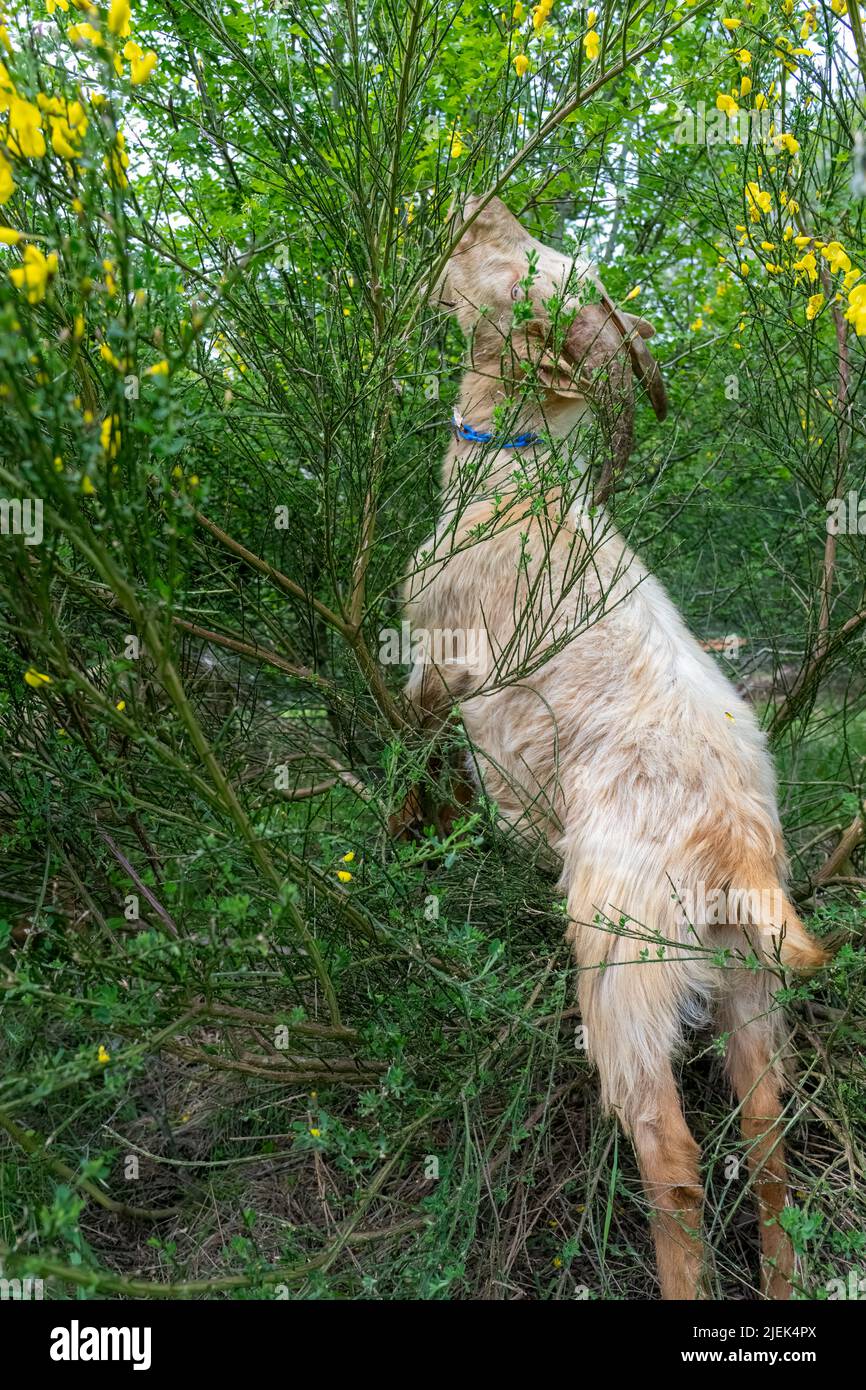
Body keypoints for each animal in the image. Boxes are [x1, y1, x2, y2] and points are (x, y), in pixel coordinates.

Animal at [397, 190, 828, 1295]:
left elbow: (413, 771)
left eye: (524, 271)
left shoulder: (433, 670)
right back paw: (780, 1279)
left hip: (621, 975)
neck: (517, 473)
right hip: (747, 988)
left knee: (672, 1162)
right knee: (767, 1147)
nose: (478, 203)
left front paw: (407, 845)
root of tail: (737, 847)